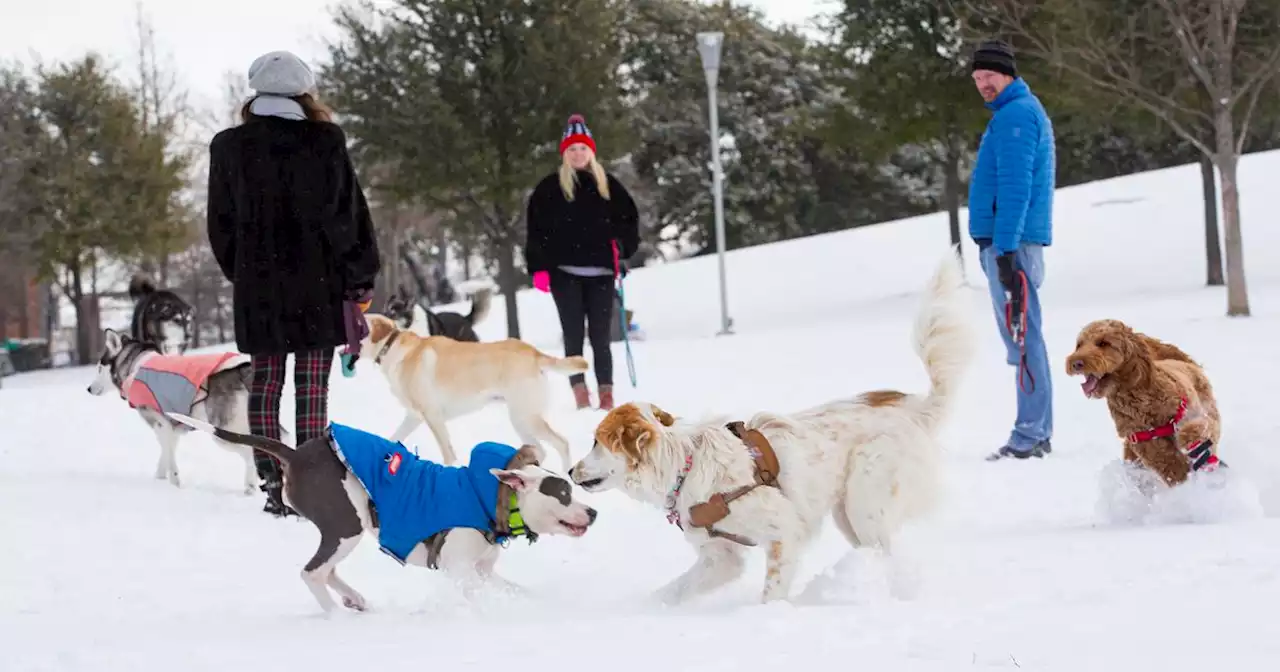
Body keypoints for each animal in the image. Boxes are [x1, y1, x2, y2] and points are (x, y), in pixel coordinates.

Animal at [355, 313, 586, 465]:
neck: (391, 348)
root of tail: (534, 352)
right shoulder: (413, 416)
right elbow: (392, 438)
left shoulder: (433, 415)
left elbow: (448, 455)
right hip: (520, 420)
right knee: (541, 451)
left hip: (527, 417)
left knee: (562, 443)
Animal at [565, 248, 972, 604]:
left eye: (596, 442)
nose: (569, 471)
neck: (685, 465)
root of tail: (913, 406)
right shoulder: (720, 556)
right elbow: (672, 591)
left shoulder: (783, 533)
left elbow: (771, 592)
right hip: (847, 512)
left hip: (865, 499)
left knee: (884, 551)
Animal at [1064, 317, 1223, 483]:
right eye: (1079, 345)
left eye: (1103, 343)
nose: (1076, 363)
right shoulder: (1143, 439)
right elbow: (1168, 462)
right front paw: (1182, 480)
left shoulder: (1192, 414)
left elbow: (1200, 428)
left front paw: (1190, 439)